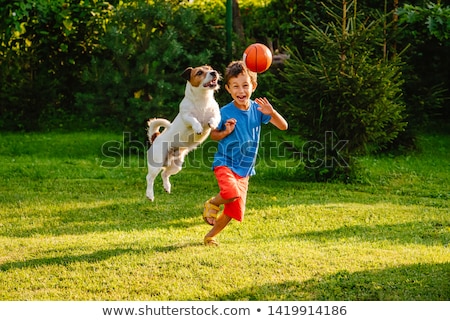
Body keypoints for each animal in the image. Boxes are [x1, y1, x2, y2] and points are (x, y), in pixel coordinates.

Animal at [145, 65, 221, 200]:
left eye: (210, 68)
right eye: (199, 72)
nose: (214, 72)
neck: (203, 100)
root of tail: (156, 137)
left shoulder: (216, 113)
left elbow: (214, 118)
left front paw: (212, 124)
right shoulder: (186, 116)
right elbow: (193, 120)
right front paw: (198, 127)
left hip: (177, 164)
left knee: (165, 174)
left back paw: (167, 187)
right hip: (157, 162)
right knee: (149, 178)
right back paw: (150, 195)